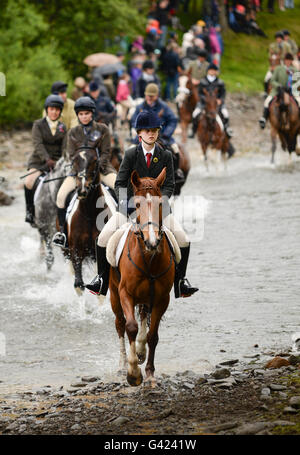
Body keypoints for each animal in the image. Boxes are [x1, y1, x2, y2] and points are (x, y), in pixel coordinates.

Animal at [109, 168, 175, 388]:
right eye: (136, 205)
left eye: (160, 204)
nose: (152, 241)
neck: (149, 258)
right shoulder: (125, 293)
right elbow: (130, 327)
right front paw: (133, 373)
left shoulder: (162, 299)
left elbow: (153, 335)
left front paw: (149, 373)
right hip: (114, 295)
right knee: (120, 324)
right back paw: (123, 364)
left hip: (148, 297)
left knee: (144, 318)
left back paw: (140, 350)